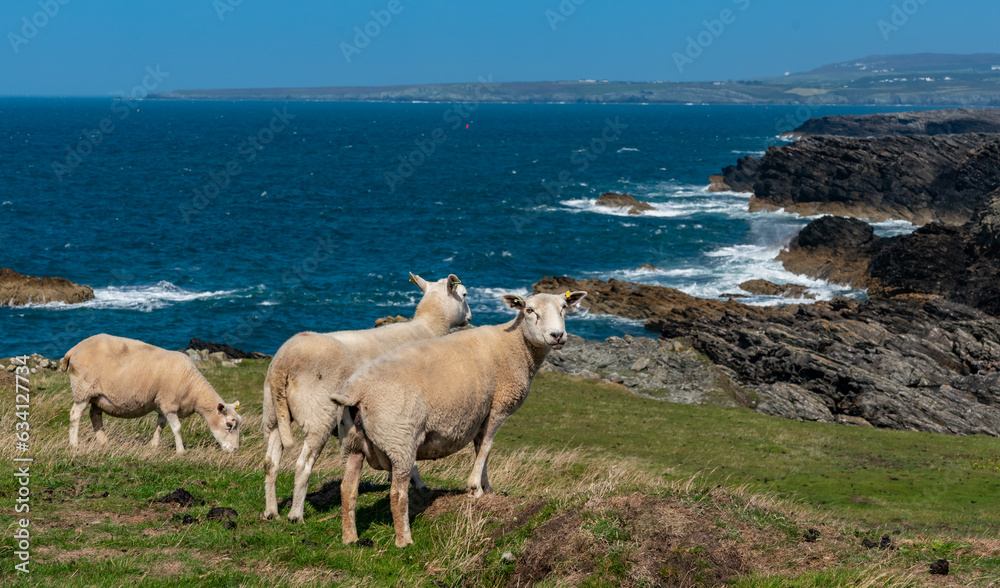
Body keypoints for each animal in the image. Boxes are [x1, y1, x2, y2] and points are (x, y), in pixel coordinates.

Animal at [61, 334, 242, 453]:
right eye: (229, 424)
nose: (234, 449)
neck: (193, 388)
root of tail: (75, 348)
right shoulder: (169, 404)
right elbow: (177, 428)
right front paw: (181, 451)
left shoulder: (161, 403)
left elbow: (160, 425)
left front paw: (153, 446)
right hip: (83, 390)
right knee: (75, 415)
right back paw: (74, 444)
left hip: (97, 395)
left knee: (95, 415)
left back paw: (104, 442)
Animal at [262, 272, 471, 522]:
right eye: (465, 294)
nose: (470, 317)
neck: (428, 327)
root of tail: (283, 362)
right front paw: (418, 484)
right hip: (317, 415)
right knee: (303, 465)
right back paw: (296, 514)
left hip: (273, 413)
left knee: (270, 463)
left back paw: (271, 511)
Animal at [334, 290, 587, 547]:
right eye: (529, 310)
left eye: (564, 307)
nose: (557, 335)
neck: (515, 346)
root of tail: (357, 392)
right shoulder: (497, 406)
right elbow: (486, 447)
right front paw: (475, 487)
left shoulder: (480, 413)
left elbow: (480, 449)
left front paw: (487, 488)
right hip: (399, 441)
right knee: (397, 493)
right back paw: (404, 540)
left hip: (351, 444)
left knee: (347, 490)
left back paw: (350, 538)